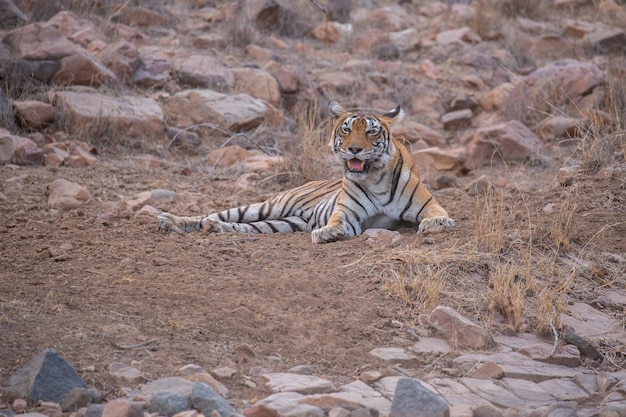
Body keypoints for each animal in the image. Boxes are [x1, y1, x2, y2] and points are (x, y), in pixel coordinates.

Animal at [158, 101, 454, 244]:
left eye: (371, 131)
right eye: (346, 129)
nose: (354, 149)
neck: (374, 177)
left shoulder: (428, 204)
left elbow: (436, 214)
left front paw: (436, 223)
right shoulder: (348, 213)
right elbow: (337, 221)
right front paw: (327, 233)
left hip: (283, 222)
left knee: (238, 226)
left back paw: (217, 229)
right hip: (267, 206)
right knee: (210, 215)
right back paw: (170, 220)